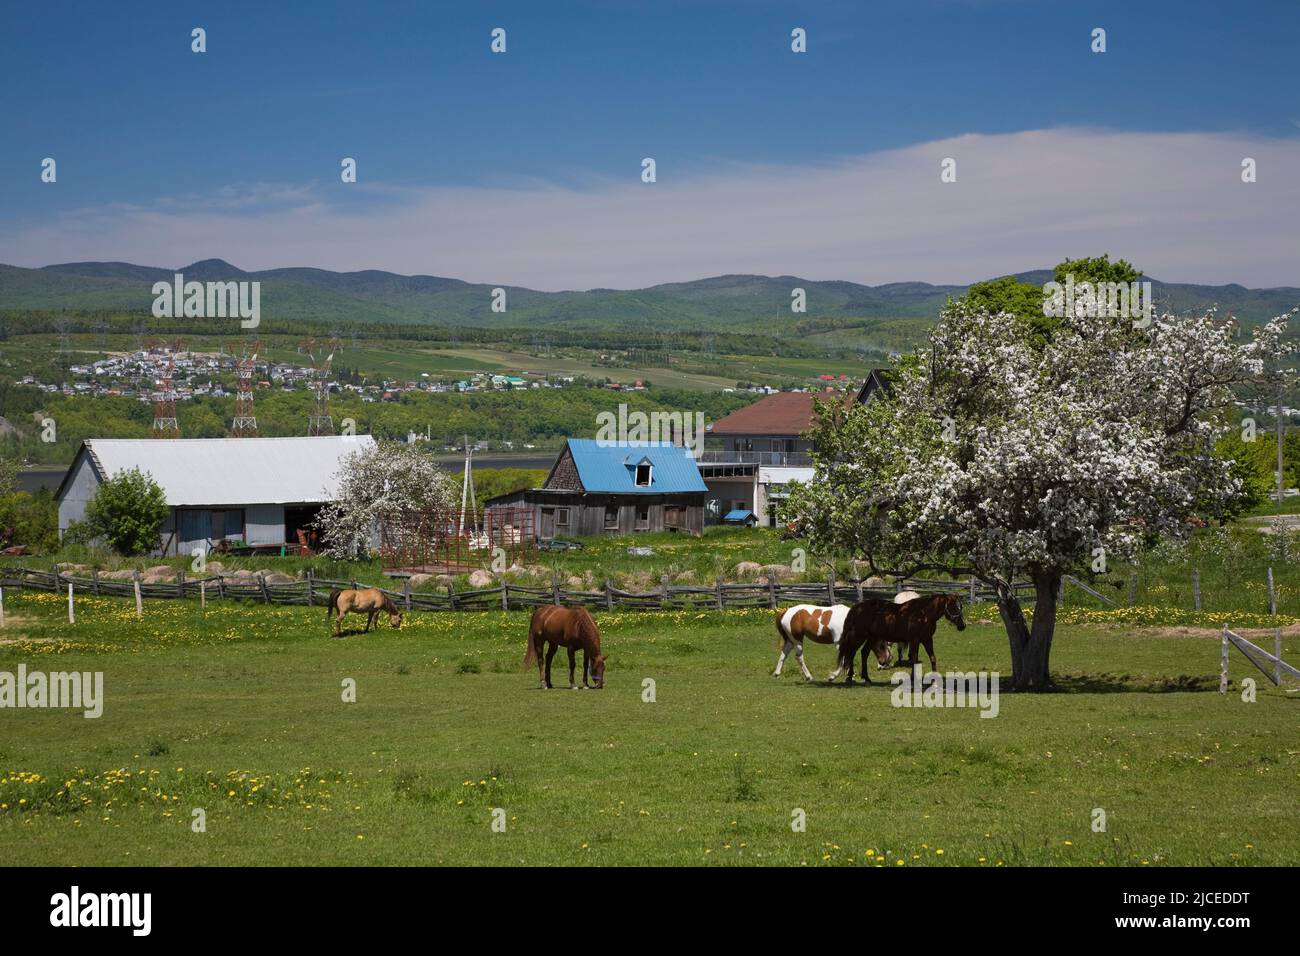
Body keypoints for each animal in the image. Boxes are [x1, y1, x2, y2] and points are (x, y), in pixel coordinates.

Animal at [832, 595, 967, 676]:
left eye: (961, 606)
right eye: (953, 607)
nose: (963, 626)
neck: (922, 614)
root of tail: (856, 607)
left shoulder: (927, 639)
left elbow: (932, 658)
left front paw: (935, 681)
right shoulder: (915, 640)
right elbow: (914, 660)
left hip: (872, 638)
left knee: (863, 653)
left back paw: (866, 679)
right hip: (858, 636)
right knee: (851, 653)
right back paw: (850, 678)